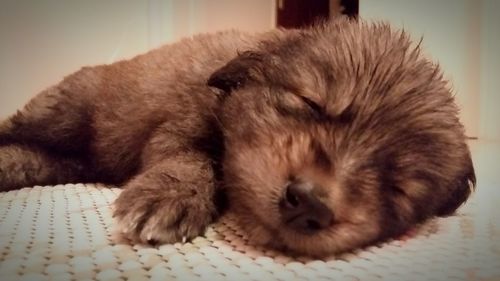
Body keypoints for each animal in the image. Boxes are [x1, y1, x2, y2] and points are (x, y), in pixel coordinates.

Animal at [0, 18, 476, 256]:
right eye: (310, 103)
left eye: (398, 189)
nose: (309, 203)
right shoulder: (180, 124)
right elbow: (193, 158)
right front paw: (170, 195)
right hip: (64, 110)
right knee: (18, 130)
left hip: (69, 156)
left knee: (41, 159)